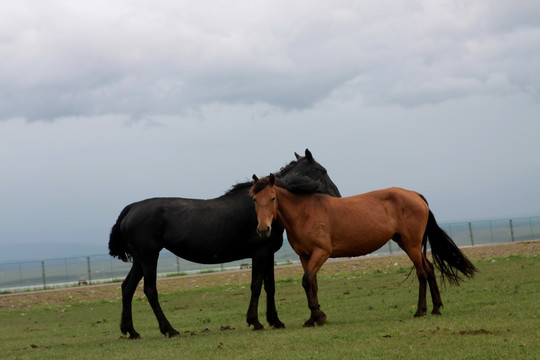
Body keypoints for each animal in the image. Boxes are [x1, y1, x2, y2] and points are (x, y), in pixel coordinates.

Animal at [107, 148, 340, 338]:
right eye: (322, 170)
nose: (337, 195)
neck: (266, 207)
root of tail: (132, 208)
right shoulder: (260, 253)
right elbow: (256, 286)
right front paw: (255, 321)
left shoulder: (269, 254)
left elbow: (270, 287)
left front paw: (275, 321)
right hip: (149, 257)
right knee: (150, 290)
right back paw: (169, 329)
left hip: (140, 260)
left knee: (127, 288)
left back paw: (131, 330)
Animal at [251, 174, 474, 326]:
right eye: (254, 199)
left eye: (272, 198)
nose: (263, 230)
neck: (305, 213)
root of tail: (414, 194)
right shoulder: (305, 257)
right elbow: (311, 284)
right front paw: (313, 318)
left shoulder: (322, 253)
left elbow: (306, 281)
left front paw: (318, 316)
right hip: (405, 243)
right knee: (429, 269)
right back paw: (436, 308)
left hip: (411, 244)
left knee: (422, 273)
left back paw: (420, 310)